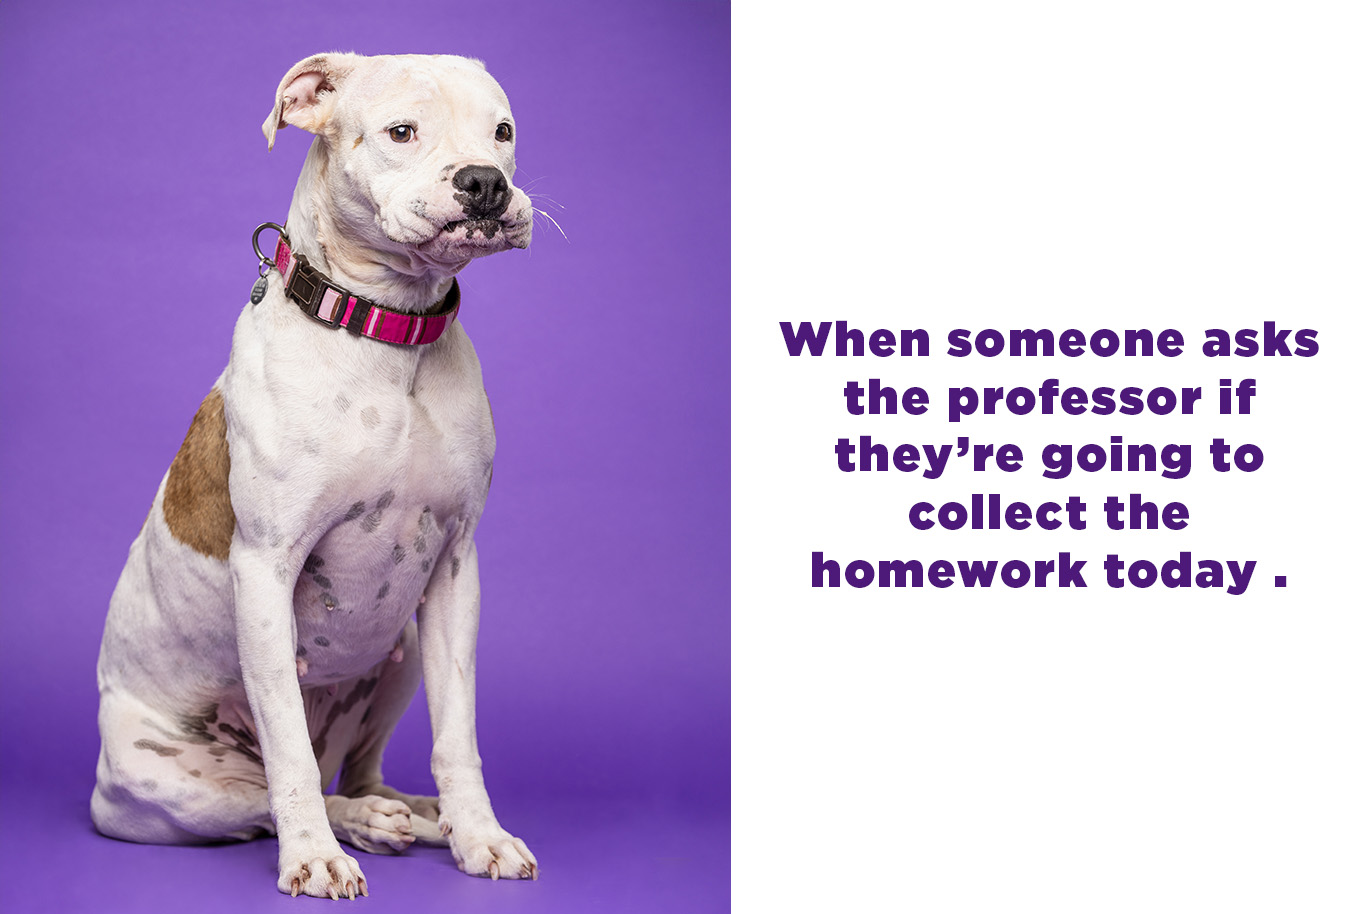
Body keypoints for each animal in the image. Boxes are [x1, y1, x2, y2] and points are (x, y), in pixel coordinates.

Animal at [91, 51, 537, 898]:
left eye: (502, 131)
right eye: (401, 131)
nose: (485, 182)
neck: (388, 333)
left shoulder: (455, 569)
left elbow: (457, 735)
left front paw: (479, 836)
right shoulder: (266, 571)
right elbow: (288, 759)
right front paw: (315, 859)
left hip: (402, 649)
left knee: (355, 771)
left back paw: (413, 813)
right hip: (175, 786)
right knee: (276, 789)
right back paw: (355, 826)